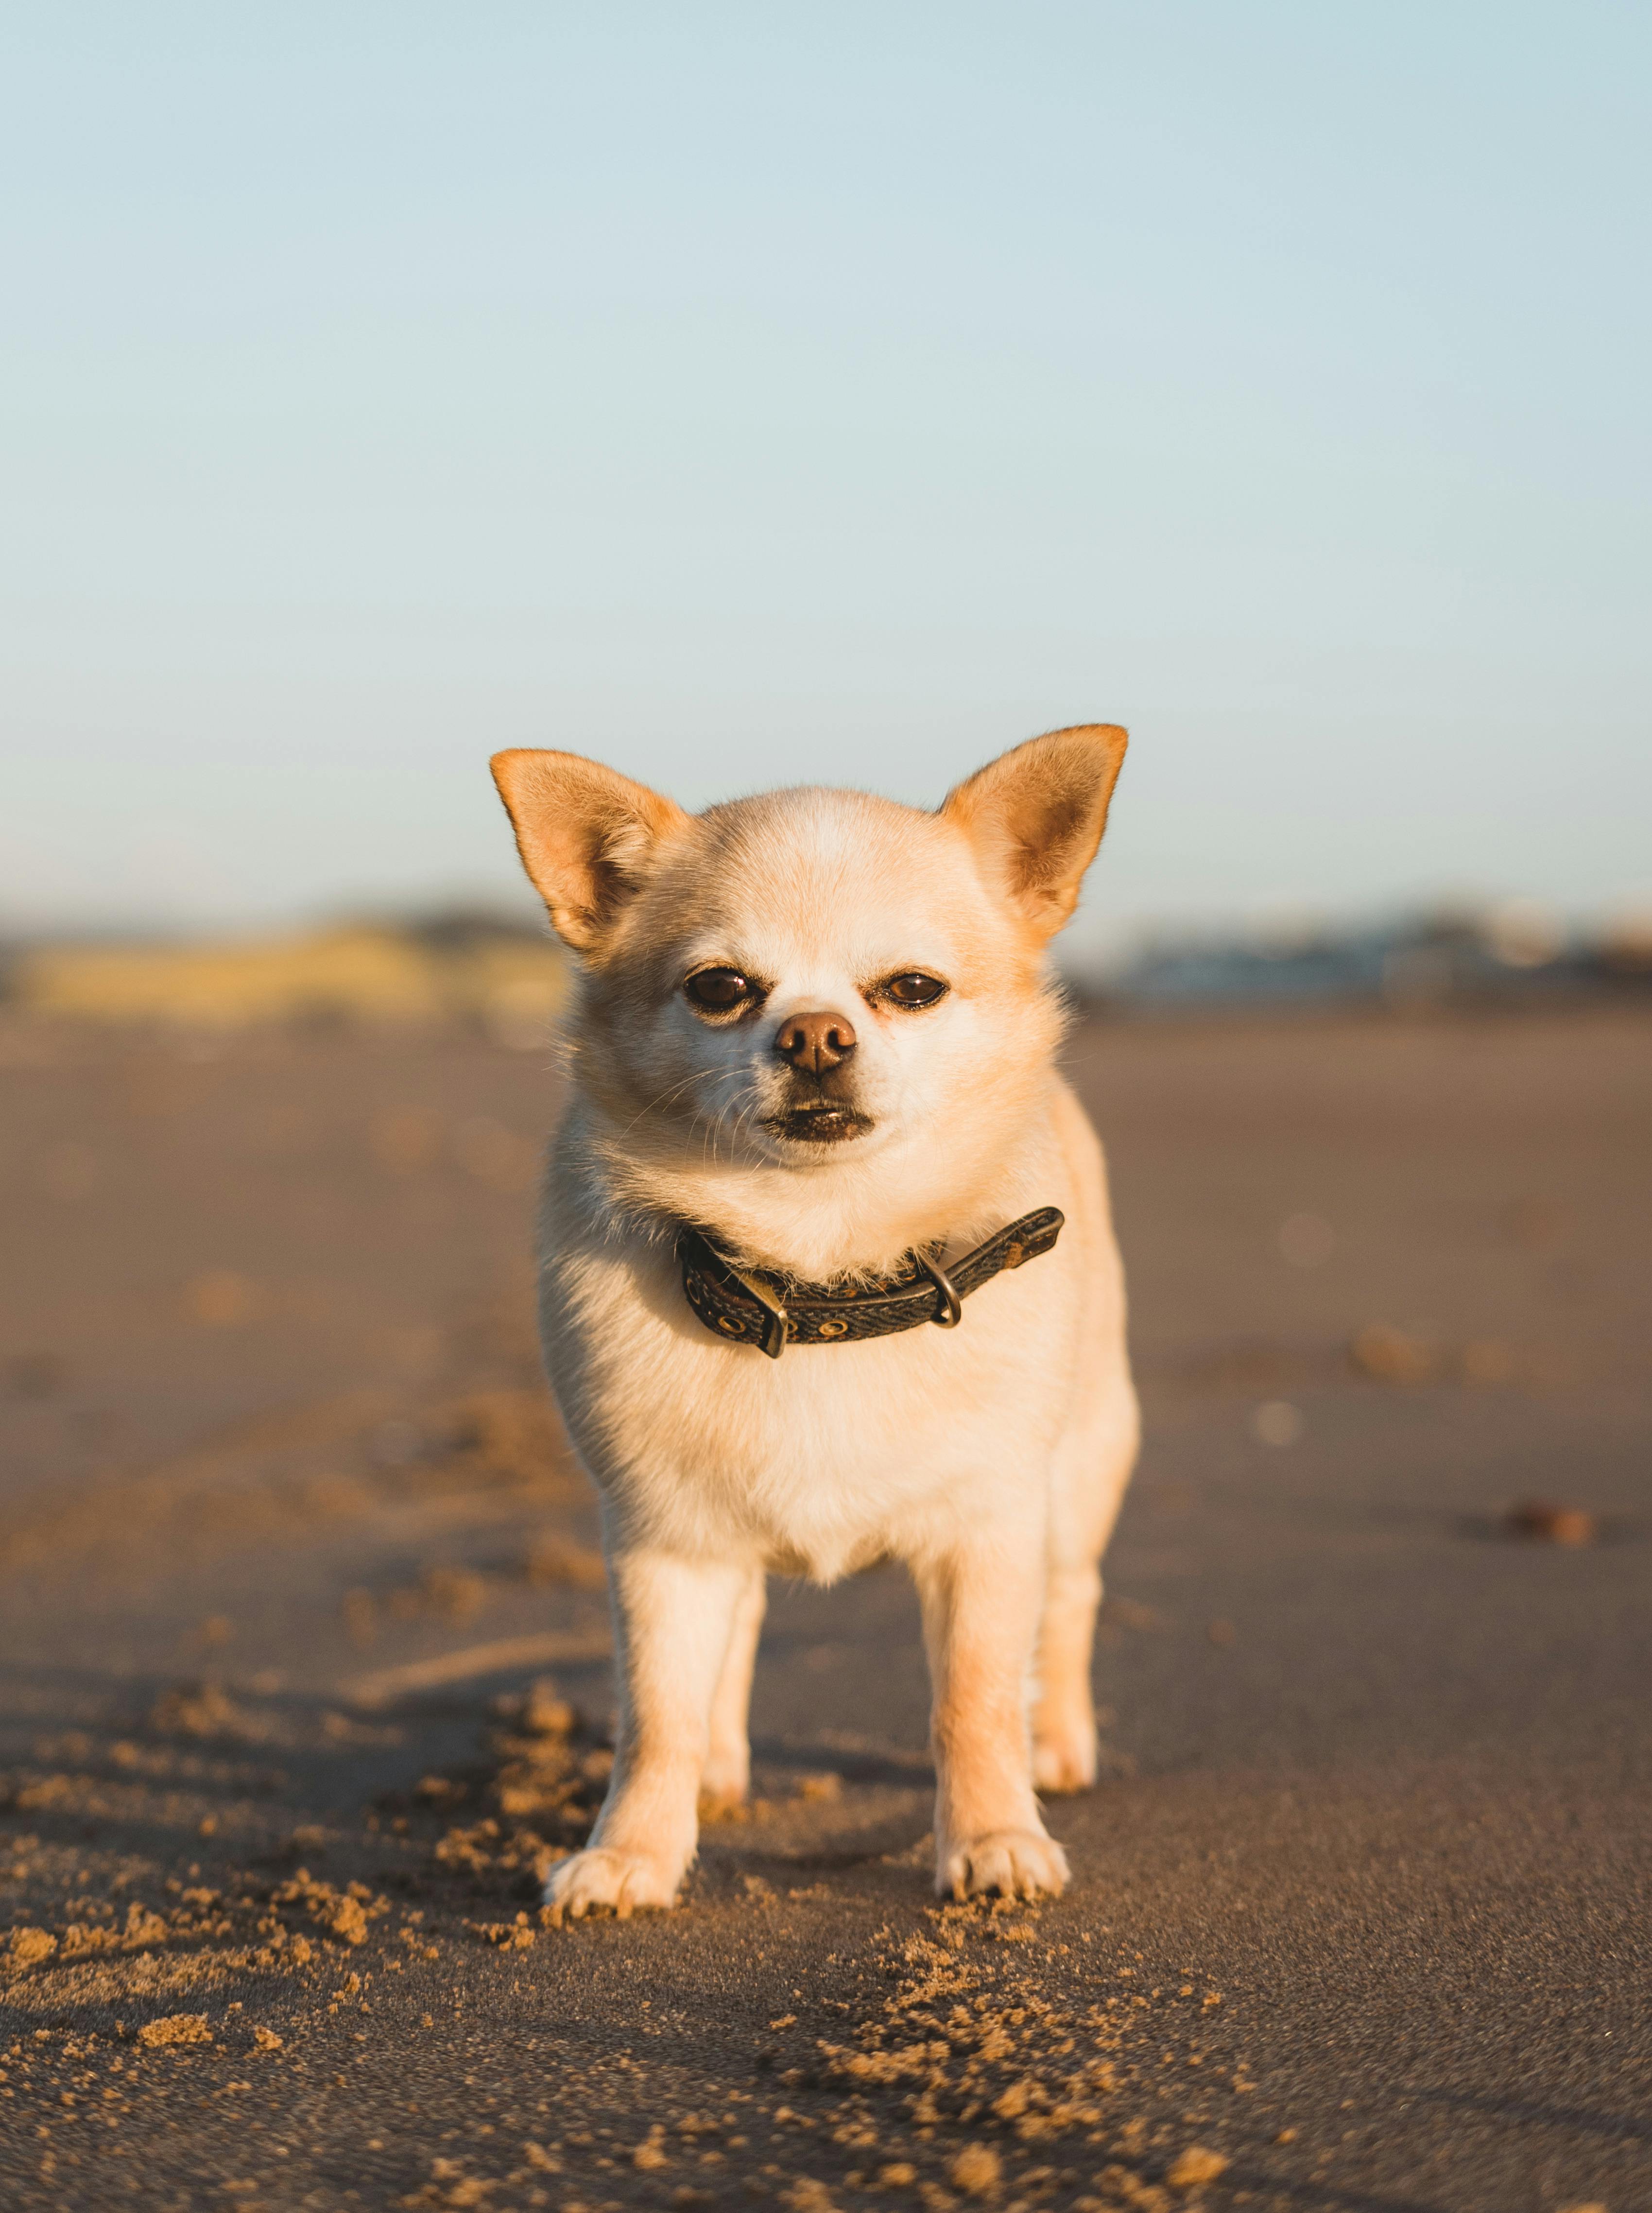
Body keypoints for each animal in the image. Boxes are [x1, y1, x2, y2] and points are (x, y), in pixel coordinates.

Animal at [491, 726, 1141, 1920]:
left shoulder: (988, 1530)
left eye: (913, 990)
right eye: (719, 989)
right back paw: (717, 1766)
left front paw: (993, 1837)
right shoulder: (660, 1539)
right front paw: (634, 1852)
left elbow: (974, 1696)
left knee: (1070, 1600)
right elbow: (654, 1713)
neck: (820, 1276)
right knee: (736, 1630)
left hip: (1082, 1461)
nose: (815, 1035)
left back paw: (1058, 1744)